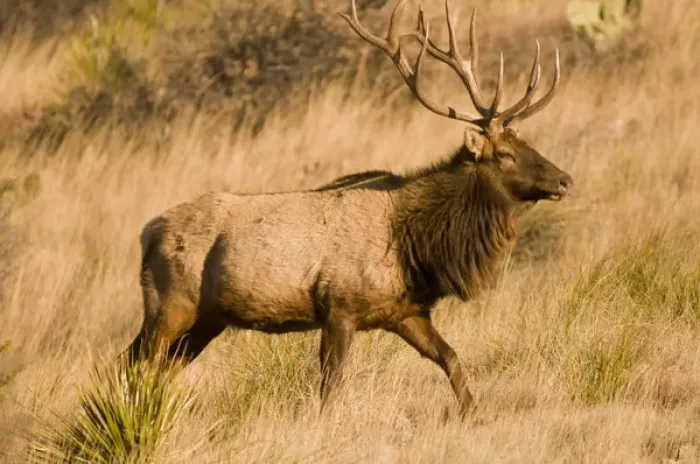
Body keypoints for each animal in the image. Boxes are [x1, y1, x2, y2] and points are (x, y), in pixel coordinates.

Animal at [123, 0, 573, 420]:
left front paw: (474, 415)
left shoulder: (405, 311)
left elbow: (450, 357)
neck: (416, 244)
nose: (565, 179)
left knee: (155, 367)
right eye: (505, 154)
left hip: (208, 319)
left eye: (528, 143)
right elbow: (331, 384)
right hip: (169, 304)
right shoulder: (338, 306)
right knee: (134, 362)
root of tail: (146, 232)